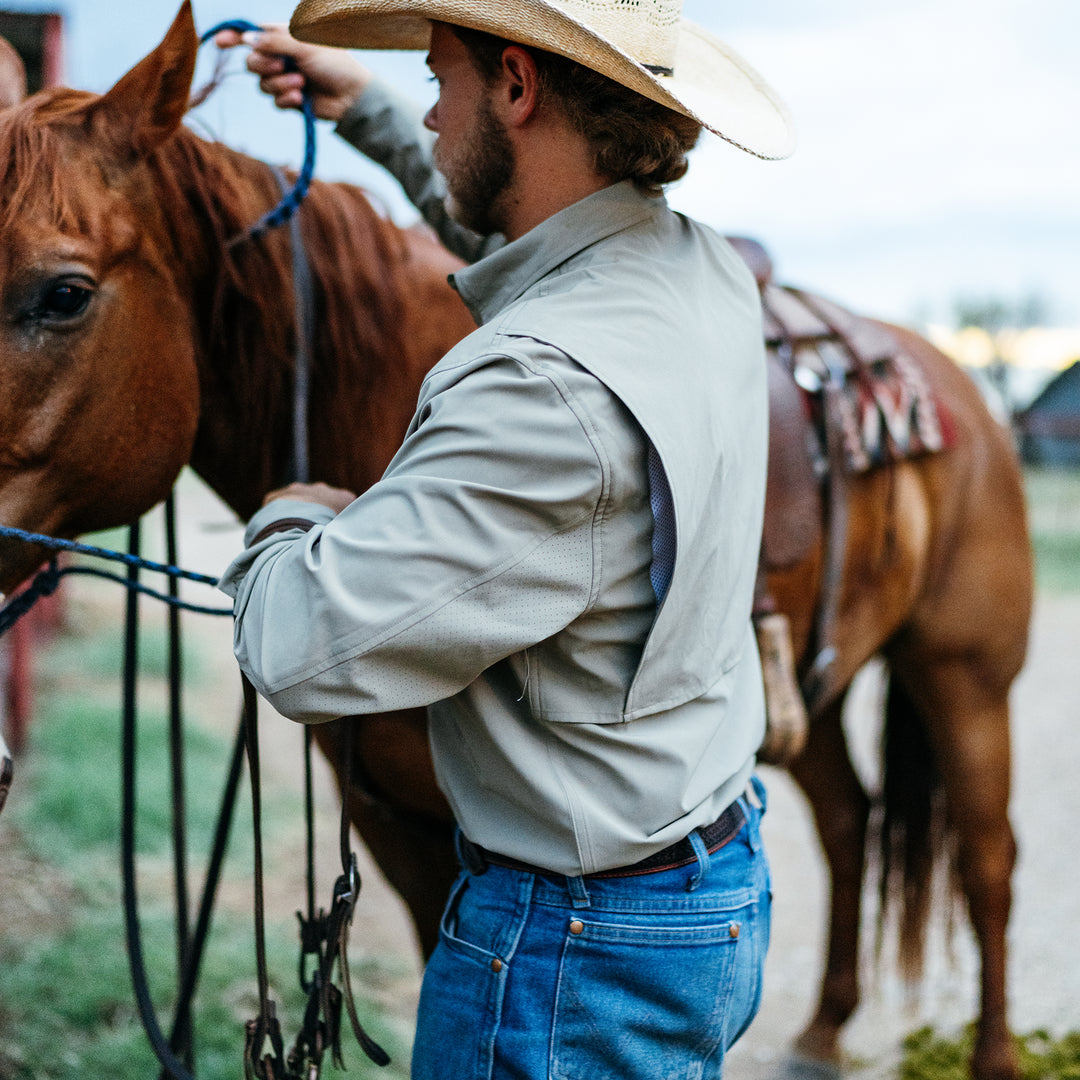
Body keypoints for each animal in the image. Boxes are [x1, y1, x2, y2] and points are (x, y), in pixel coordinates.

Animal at [0, 8, 1028, 1080]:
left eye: (63, 295)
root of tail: (964, 384)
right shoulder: (398, 834)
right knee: (847, 821)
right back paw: (826, 1029)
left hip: (964, 673)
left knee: (988, 862)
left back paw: (993, 1053)